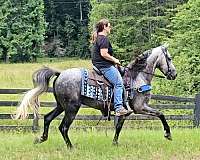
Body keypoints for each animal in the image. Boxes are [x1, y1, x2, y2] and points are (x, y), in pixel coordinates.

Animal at [14, 44, 177, 148]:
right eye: (169, 58)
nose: (174, 74)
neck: (137, 76)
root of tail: (60, 74)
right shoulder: (140, 107)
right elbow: (161, 114)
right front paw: (168, 134)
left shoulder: (125, 111)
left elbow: (118, 126)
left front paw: (114, 143)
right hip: (72, 108)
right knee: (63, 127)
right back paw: (71, 147)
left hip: (61, 106)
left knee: (48, 118)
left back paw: (42, 138)